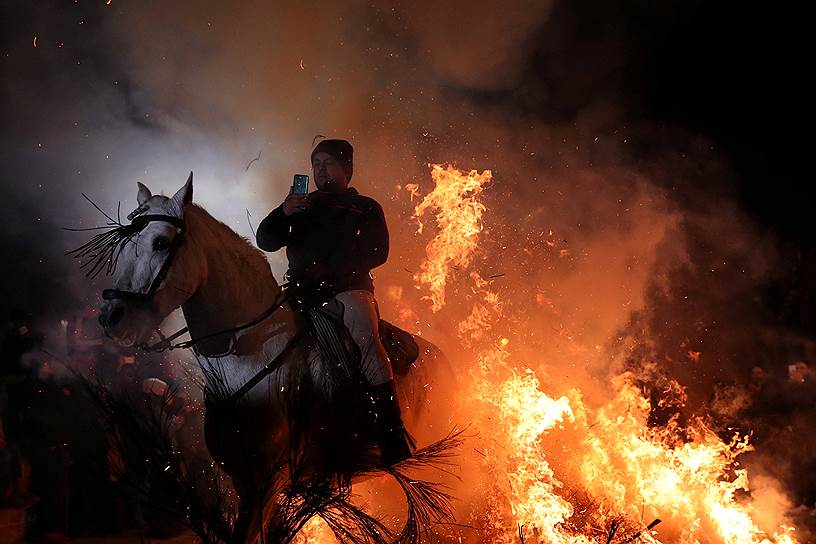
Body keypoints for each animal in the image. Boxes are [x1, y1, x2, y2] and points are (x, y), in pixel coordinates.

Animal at [92, 174, 456, 544]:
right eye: (124, 244)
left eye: (161, 242)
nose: (112, 317)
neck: (247, 359)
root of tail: (440, 357)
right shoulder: (243, 482)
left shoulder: (263, 487)